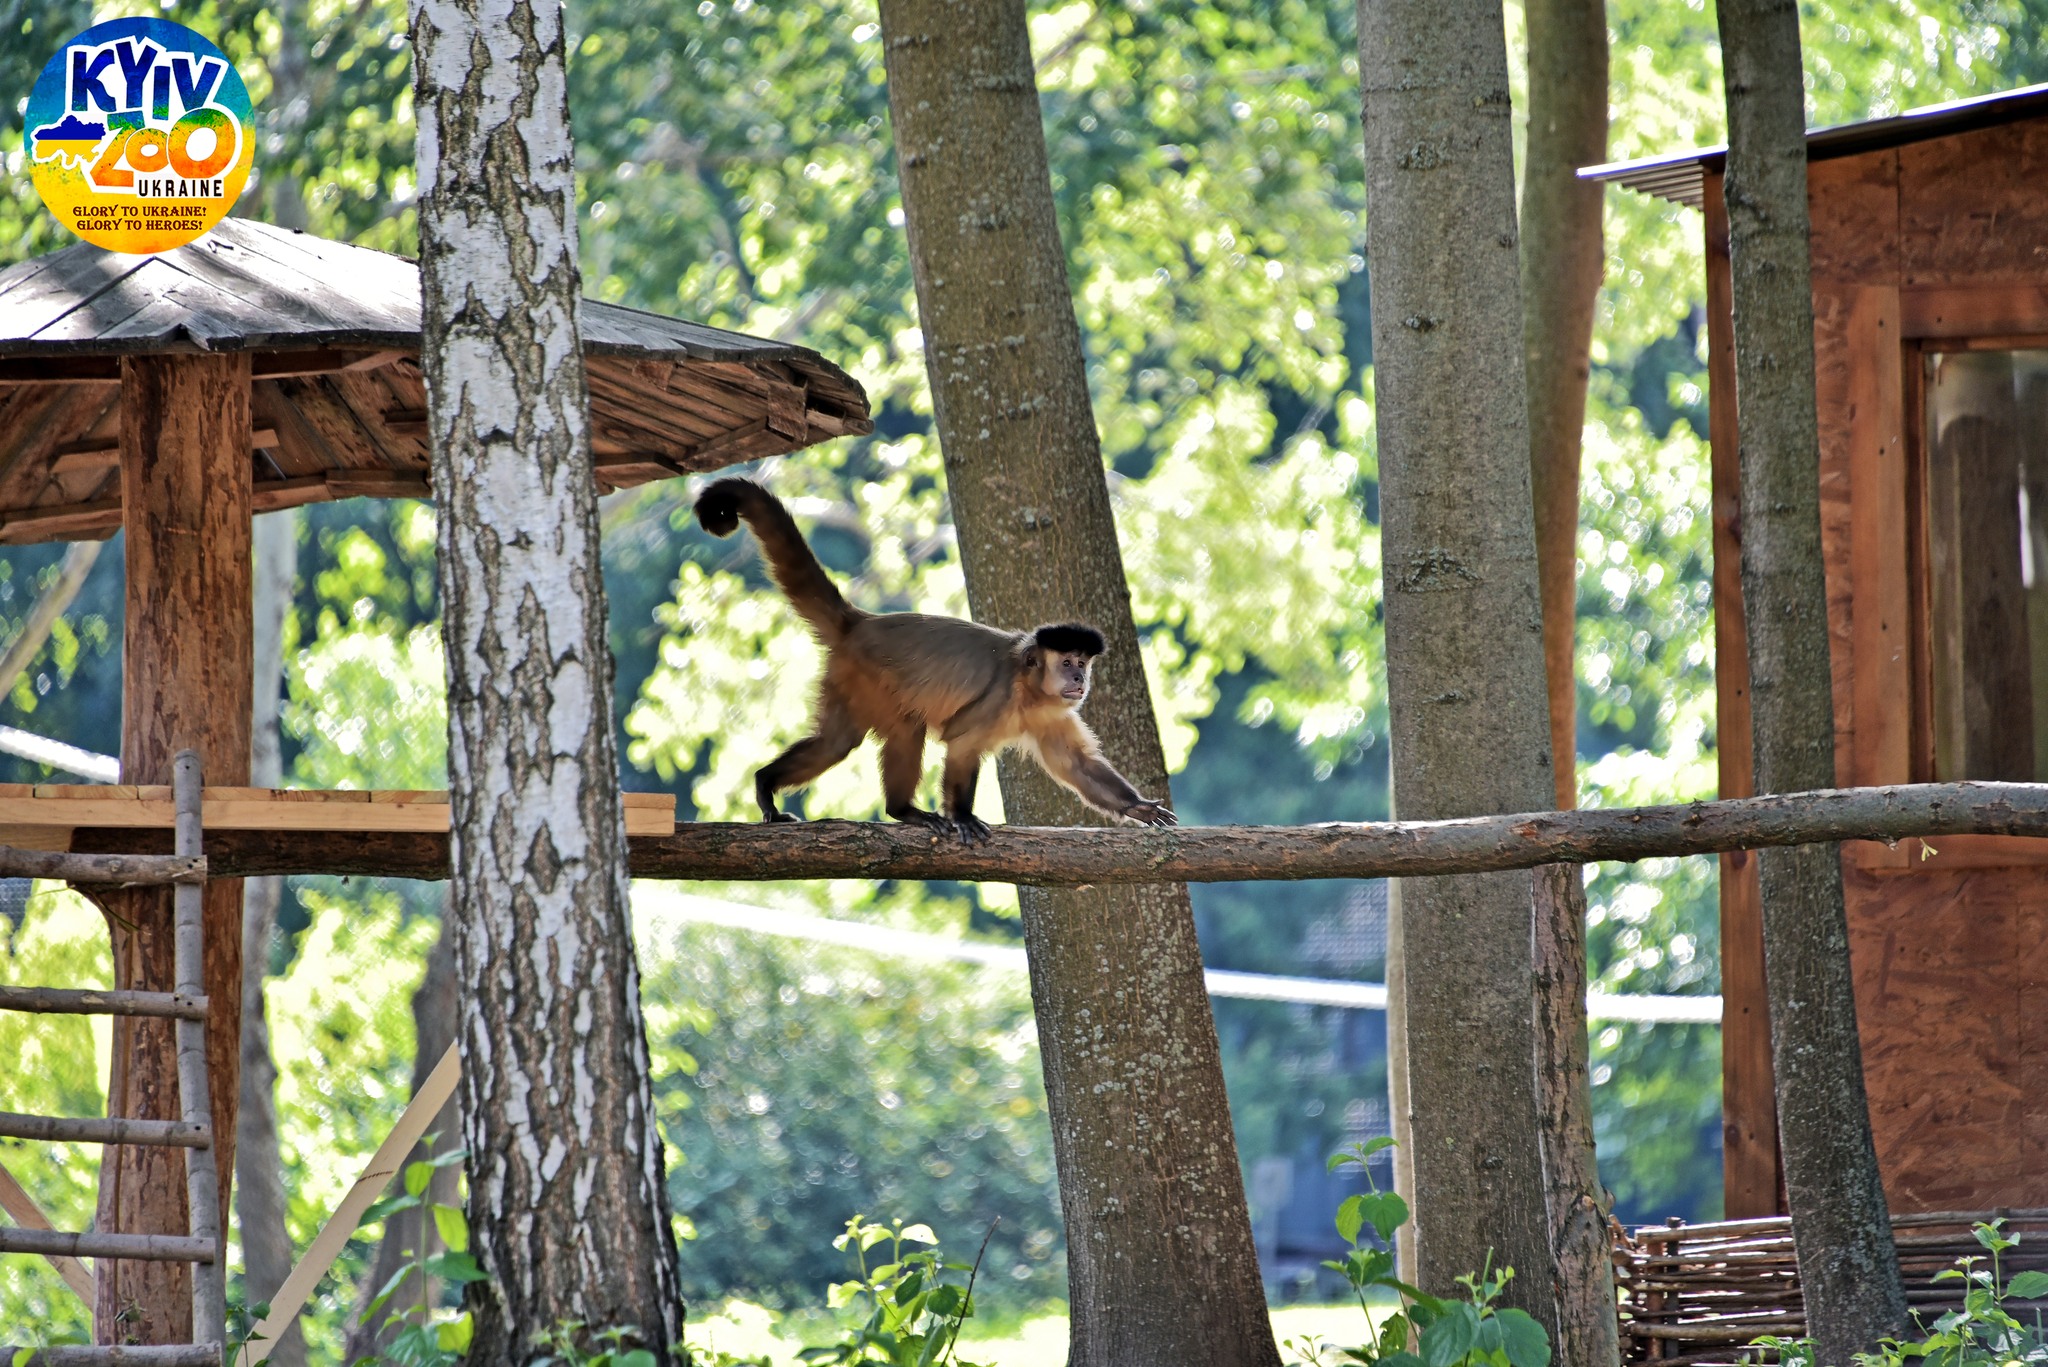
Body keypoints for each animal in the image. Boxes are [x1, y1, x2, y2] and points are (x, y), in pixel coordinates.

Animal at [696, 481, 1179, 844]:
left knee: (836, 742)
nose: (1079, 677)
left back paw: (767, 781)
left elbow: (1076, 766)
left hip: (846, 677)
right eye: (1067, 663)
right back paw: (900, 809)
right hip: (869, 674)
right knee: (905, 728)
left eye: (1083, 663)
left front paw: (1136, 806)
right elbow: (962, 744)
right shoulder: (999, 699)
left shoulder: (1053, 711)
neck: (1027, 691)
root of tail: (861, 622)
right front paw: (962, 815)